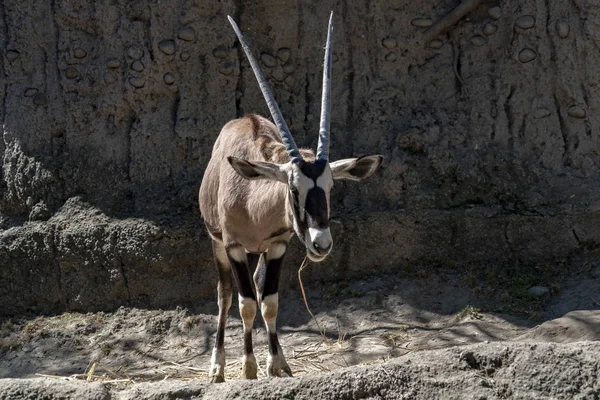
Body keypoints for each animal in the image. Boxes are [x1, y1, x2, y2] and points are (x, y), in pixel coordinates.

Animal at [199, 11, 382, 382]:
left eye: (330, 187)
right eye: (294, 188)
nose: (321, 244)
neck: (252, 199)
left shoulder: (277, 245)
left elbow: (269, 302)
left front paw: (276, 364)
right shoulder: (233, 246)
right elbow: (244, 304)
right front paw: (249, 367)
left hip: (259, 252)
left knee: (256, 288)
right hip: (218, 245)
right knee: (225, 296)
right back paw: (218, 366)